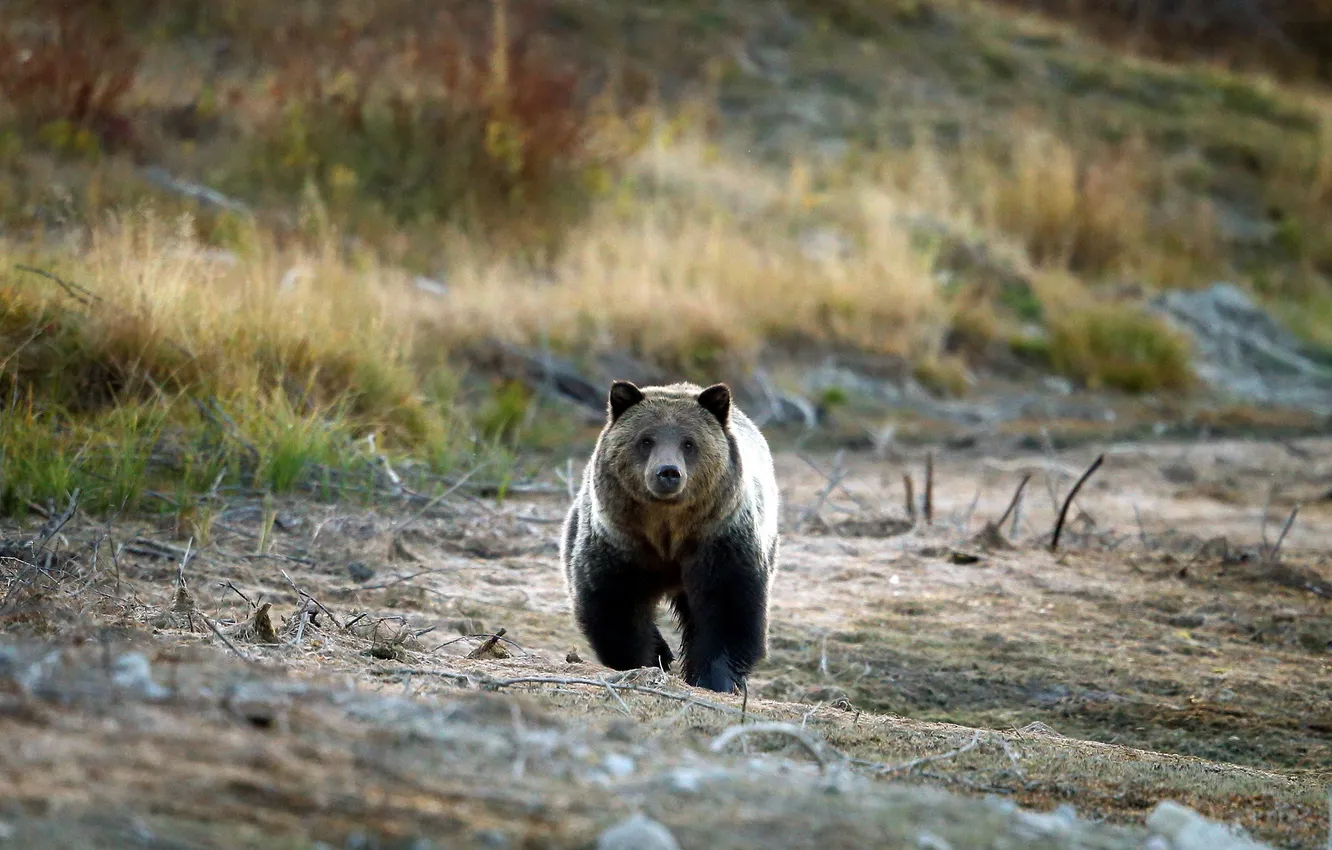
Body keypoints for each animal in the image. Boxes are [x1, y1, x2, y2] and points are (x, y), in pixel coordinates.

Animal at [560, 379, 781, 694]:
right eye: (646, 440)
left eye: (689, 442)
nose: (668, 472)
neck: (668, 530)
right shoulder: (619, 543)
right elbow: (614, 607)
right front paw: (647, 661)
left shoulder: (721, 540)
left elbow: (730, 608)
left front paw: (714, 678)